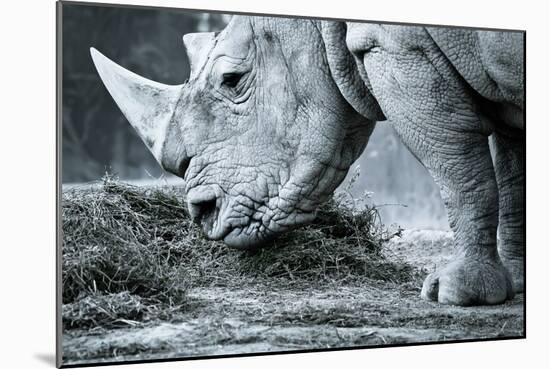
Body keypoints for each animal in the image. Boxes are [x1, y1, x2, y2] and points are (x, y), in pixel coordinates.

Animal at [90, 15, 528, 306]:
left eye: (232, 80)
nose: (203, 213)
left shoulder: (398, 49)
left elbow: (458, 170)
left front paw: (457, 294)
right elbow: (513, 175)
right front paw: (518, 283)